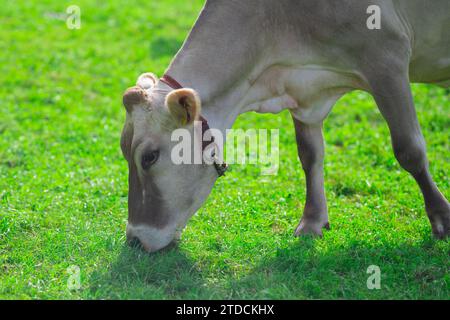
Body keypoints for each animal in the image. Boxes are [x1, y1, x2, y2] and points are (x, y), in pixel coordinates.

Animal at [121, 0, 448, 252]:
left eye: (149, 157)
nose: (134, 239)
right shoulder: (303, 91)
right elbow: (310, 155)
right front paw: (312, 222)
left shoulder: (387, 59)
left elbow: (409, 150)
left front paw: (442, 218)